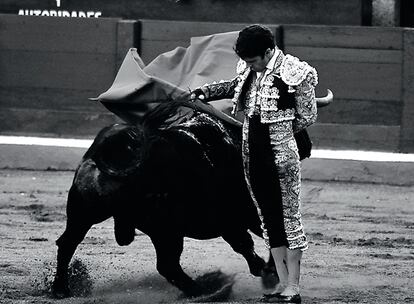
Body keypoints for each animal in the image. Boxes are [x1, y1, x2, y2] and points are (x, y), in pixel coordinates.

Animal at [51, 101, 312, 298]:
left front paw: (265, 271)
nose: (307, 143)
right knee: (168, 264)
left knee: (67, 243)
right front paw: (269, 273)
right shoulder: (251, 211)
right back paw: (205, 289)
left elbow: (247, 243)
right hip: (166, 229)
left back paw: (60, 289)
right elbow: (263, 240)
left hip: (88, 215)